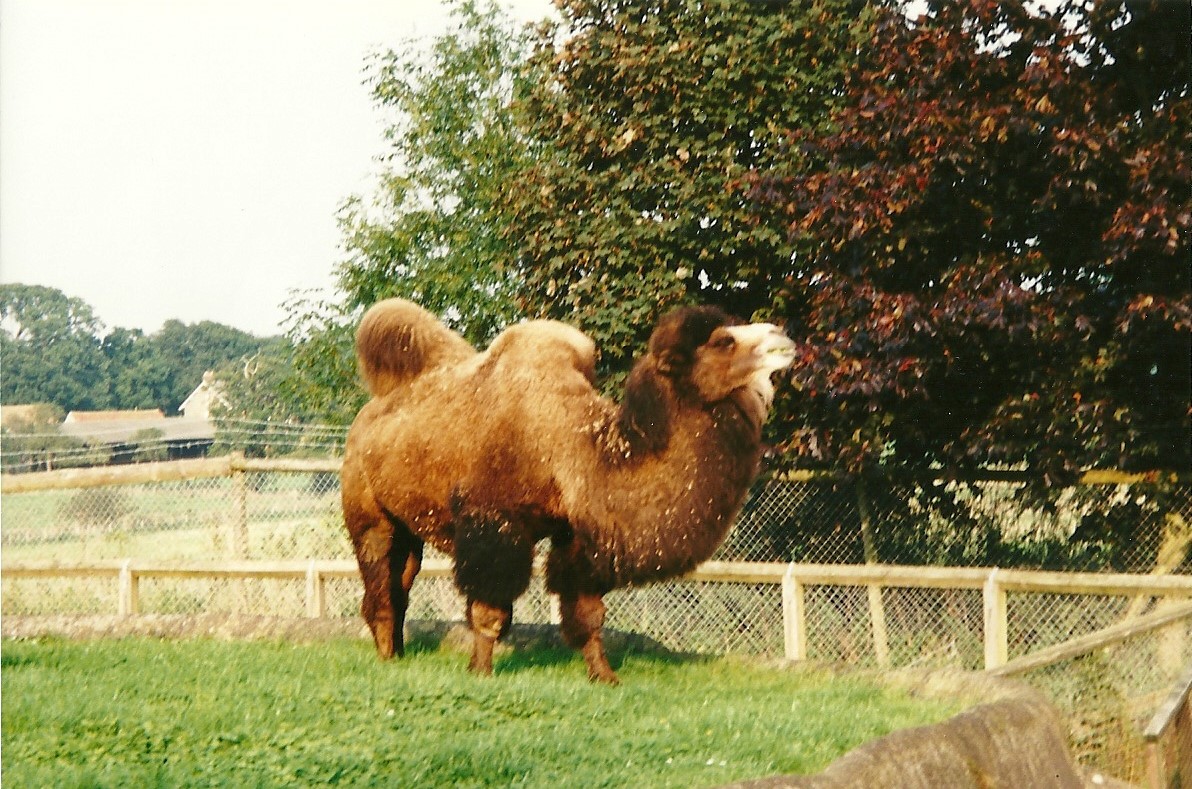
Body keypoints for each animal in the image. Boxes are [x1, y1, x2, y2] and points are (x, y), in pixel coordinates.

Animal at [340, 299, 795, 683]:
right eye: (723, 341)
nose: (783, 338)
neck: (576, 449)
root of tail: (365, 418)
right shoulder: (494, 524)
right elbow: (490, 610)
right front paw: (481, 672)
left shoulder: (576, 534)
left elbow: (588, 614)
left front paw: (604, 676)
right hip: (368, 514)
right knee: (380, 580)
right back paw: (387, 658)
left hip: (408, 527)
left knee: (400, 580)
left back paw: (398, 653)